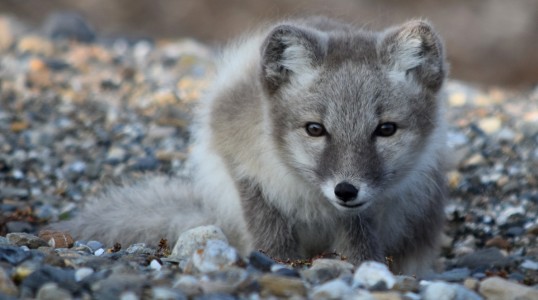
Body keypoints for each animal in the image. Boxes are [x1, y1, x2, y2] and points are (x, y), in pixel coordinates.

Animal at [55, 15, 448, 274]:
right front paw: (278, 263)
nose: (346, 190)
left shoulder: (363, 212)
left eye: (386, 129)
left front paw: (364, 267)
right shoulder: (241, 164)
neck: (313, 199)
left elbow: (360, 239)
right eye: (315, 129)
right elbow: (269, 230)